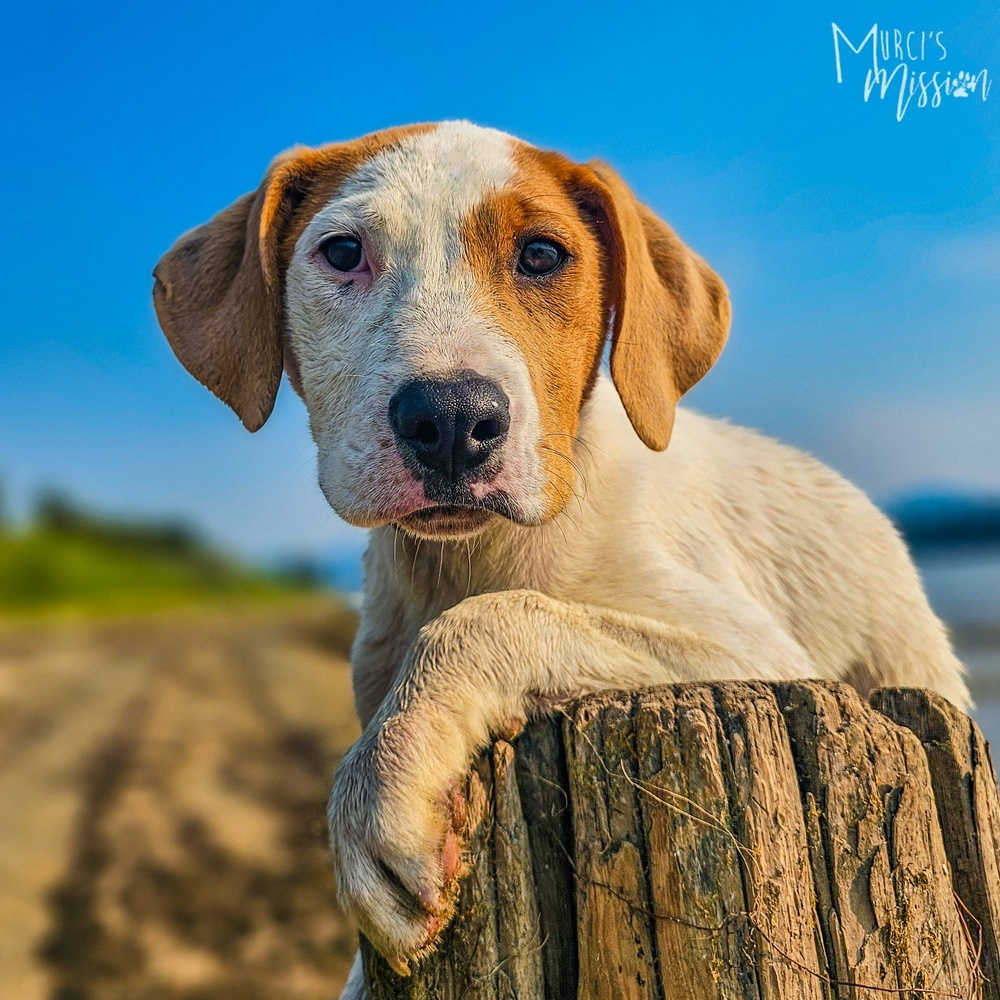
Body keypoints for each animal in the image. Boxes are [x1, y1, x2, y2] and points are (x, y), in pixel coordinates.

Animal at [154, 117, 968, 992]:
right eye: (342, 253)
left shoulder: (758, 652)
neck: (476, 556)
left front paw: (382, 790)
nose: (452, 418)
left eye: (542, 254)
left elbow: (491, 619)